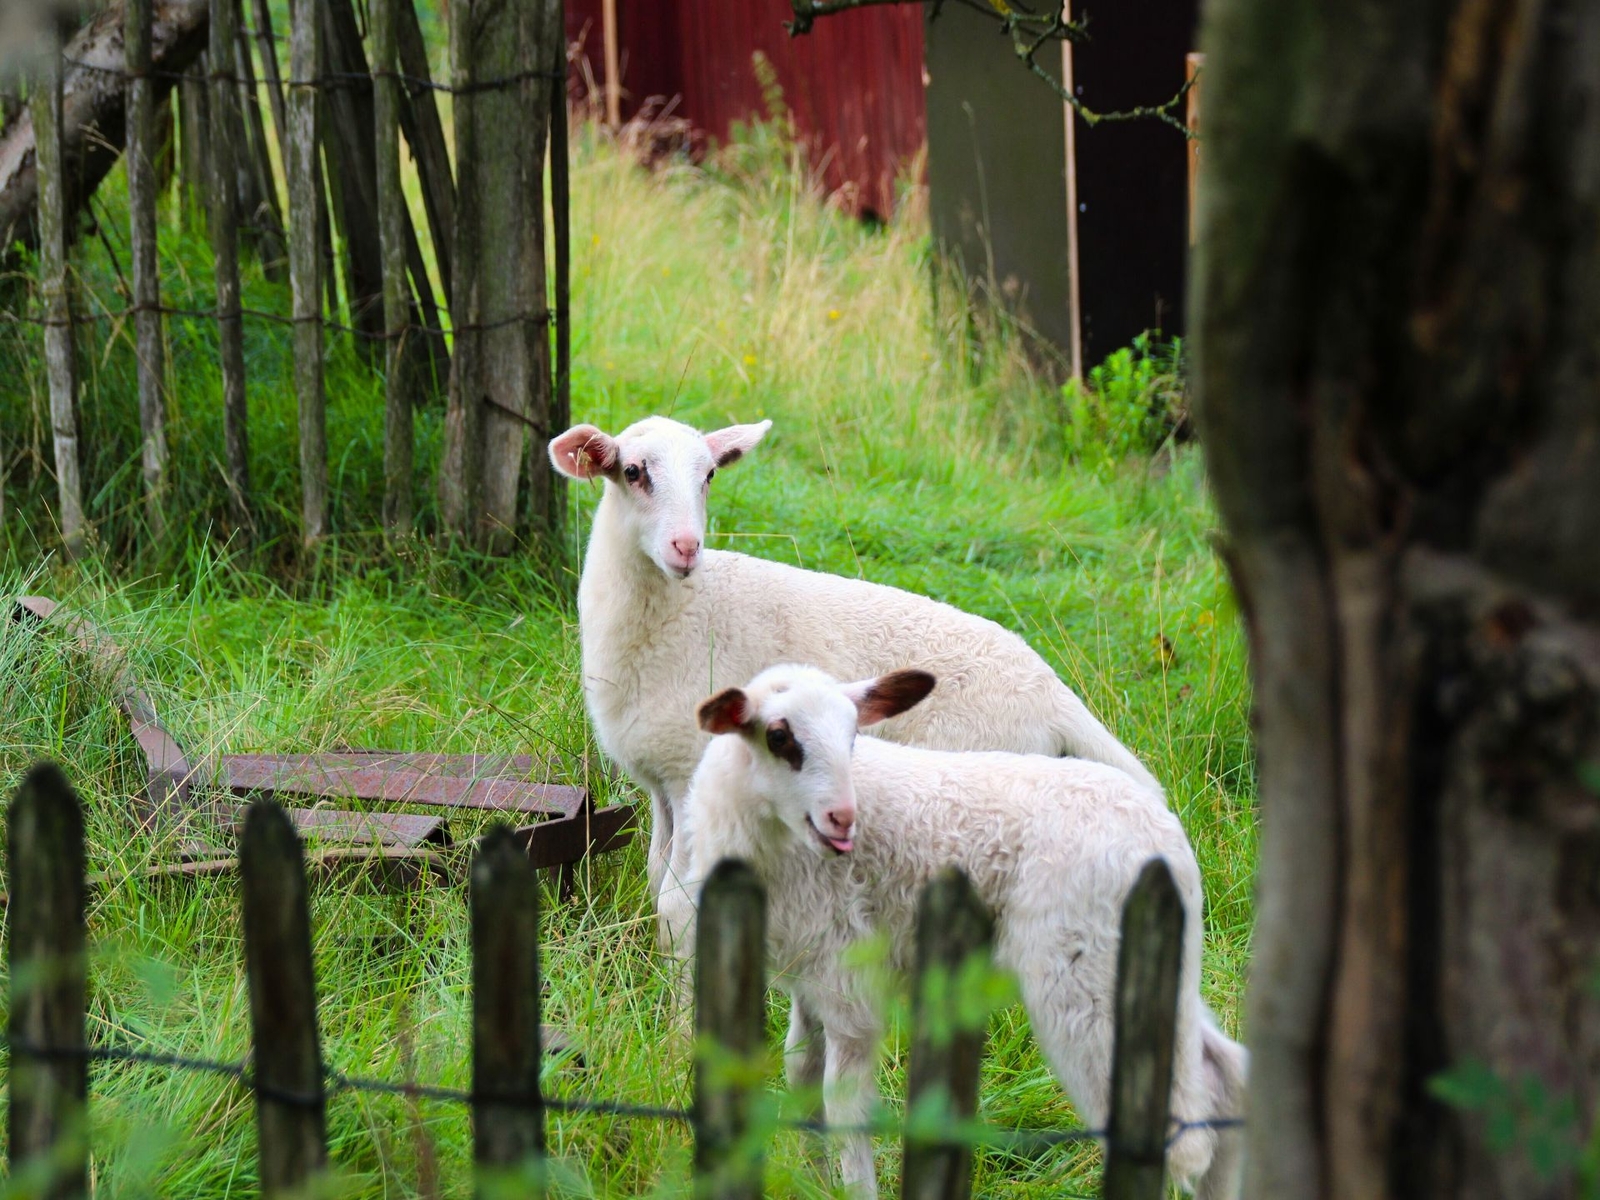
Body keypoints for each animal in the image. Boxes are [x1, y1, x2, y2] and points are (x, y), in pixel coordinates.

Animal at [666, 663, 1246, 1200]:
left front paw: (852, 1188)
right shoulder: (810, 971)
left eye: (853, 736)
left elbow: (843, 1102)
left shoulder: (848, 976)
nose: (843, 818)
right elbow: (800, 1075)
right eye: (779, 737)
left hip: (1082, 975)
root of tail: (1166, 842)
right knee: (1222, 1076)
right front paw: (811, 1179)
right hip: (1158, 965)